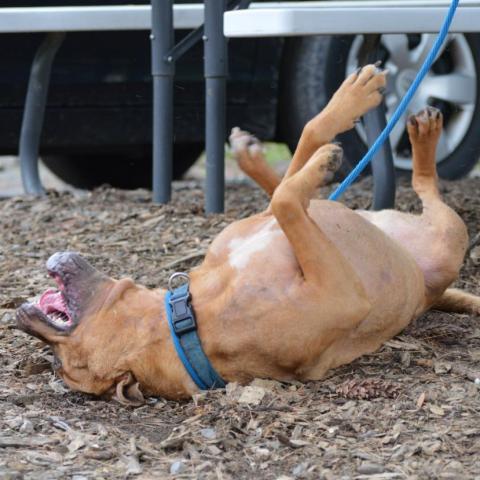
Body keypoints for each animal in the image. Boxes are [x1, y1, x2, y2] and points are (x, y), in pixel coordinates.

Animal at [15, 62, 476, 402]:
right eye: (58, 361)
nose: (20, 318)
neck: (188, 313)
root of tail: (431, 293)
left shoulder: (271, 229)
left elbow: (300, 154)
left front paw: (341, 110)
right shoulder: (342, 292)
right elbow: (288, 198)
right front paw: (325, 157)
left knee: (288, 182)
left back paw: (259, 155)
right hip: (449, 238)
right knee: (425, 188)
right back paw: (422, 142)